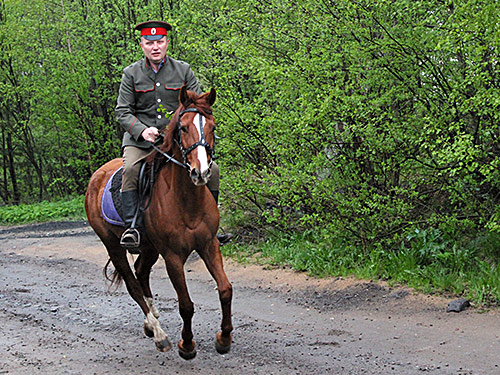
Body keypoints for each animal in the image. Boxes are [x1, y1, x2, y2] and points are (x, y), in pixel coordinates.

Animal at [85, 86, 233, 360]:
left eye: (213, 126)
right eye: (183, 128)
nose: (200, 172)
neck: (187, 201)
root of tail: (96, 176)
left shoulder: (209, 245)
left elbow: (225, 289)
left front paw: (224, 338)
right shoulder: (172, 256)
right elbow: (185, 304)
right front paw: (187, 345)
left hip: (149, 247)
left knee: (141, 272)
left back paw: (151, 321)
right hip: (114, 246)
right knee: (133, 284)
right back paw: (159, 334)